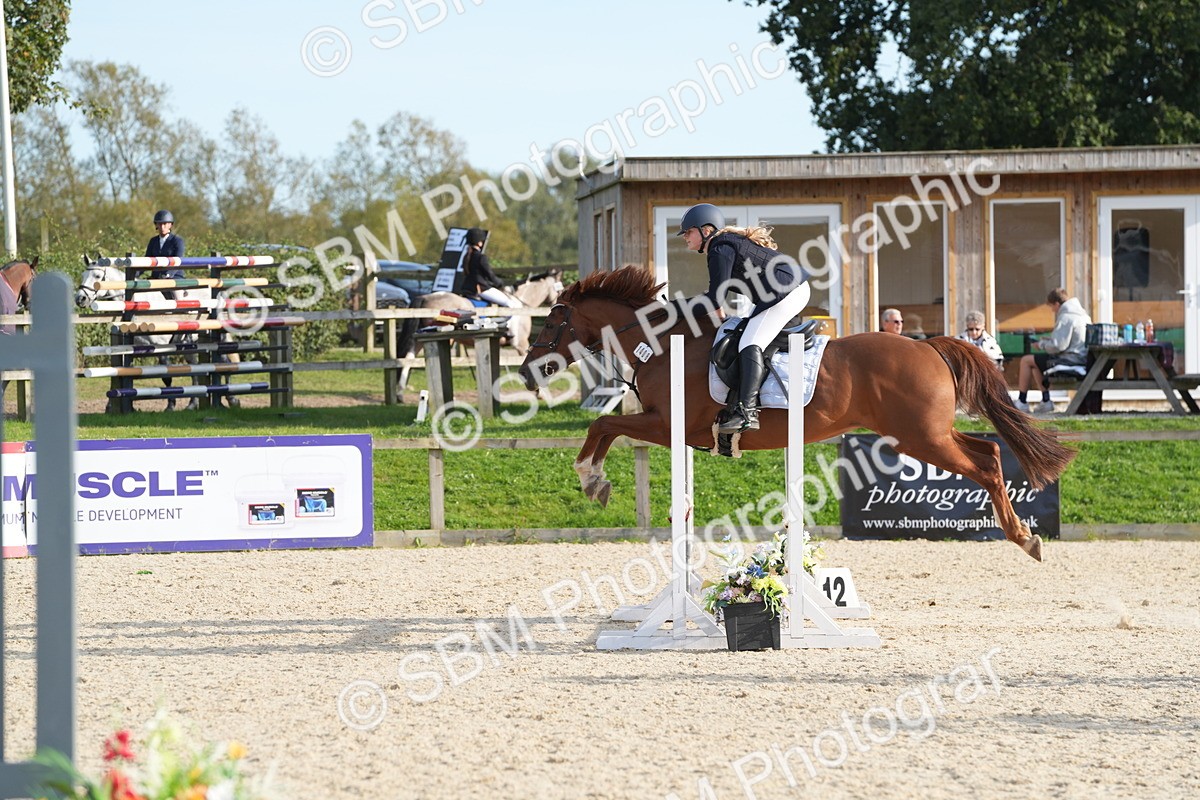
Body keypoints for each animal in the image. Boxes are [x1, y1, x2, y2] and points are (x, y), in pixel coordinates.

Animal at [518, 266, 1076, 562]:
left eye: (552, 320)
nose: (525, 372)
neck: (660, 344)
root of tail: (927, 345)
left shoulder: (667, 424)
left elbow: (603, 424)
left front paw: (591, 479)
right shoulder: (664, 426)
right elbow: (605, 427)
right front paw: (595, 481)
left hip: (920, 437)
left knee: (984, 465)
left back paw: (1023, 538)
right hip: (926, 434)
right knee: (989, 451)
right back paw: (1022, 533)